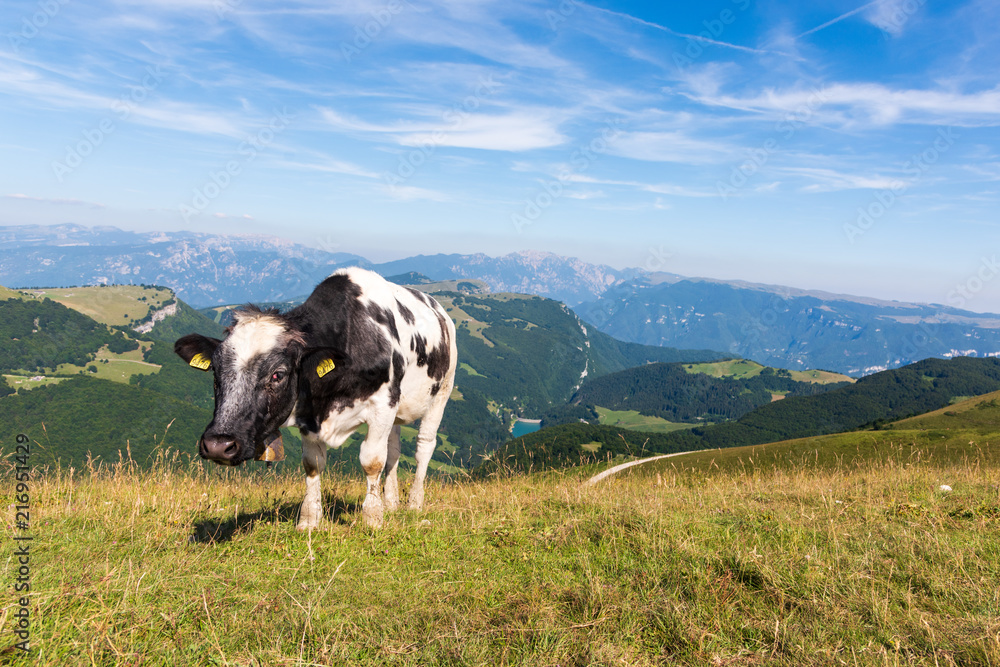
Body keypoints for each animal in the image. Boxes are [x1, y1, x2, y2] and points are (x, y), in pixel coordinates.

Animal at [175, 268, 458, 528]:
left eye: (278, 374)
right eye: (215, 370)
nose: (218, 445)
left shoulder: (383, 404)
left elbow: (372, 461)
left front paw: (372, 519)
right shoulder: (309, 414)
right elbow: (313, 464)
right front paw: (309, 521)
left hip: (441, 393)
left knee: (423, 447)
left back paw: (414, 503)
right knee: (394, 449)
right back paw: (391, 502)